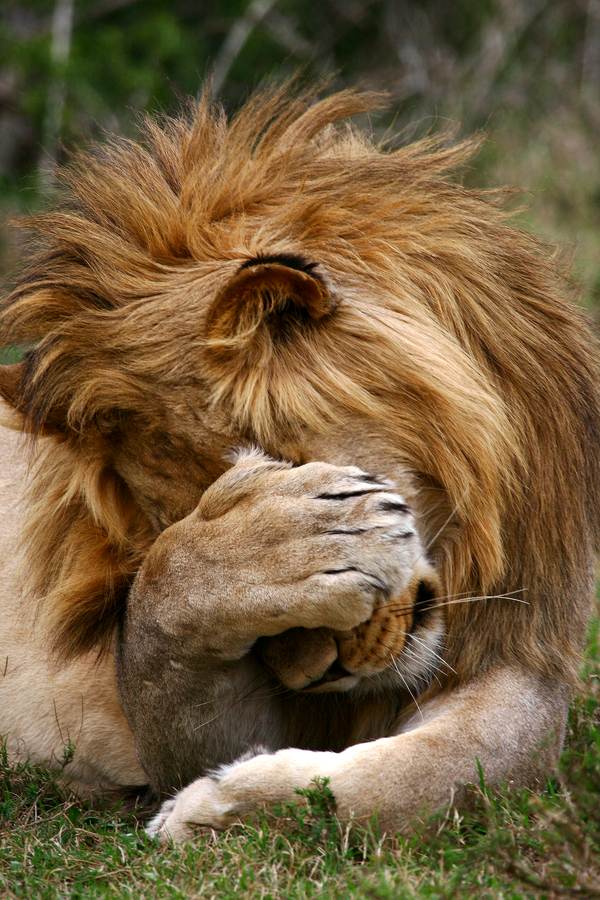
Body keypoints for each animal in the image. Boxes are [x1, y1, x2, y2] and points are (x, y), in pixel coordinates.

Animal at [0, 85, 598, 841]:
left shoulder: (524, 648)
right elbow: (168, 604)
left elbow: (434, 777)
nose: (316, 677)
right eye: (205, 511)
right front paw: (212, 810)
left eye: (281, 470)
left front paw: (218, 808)